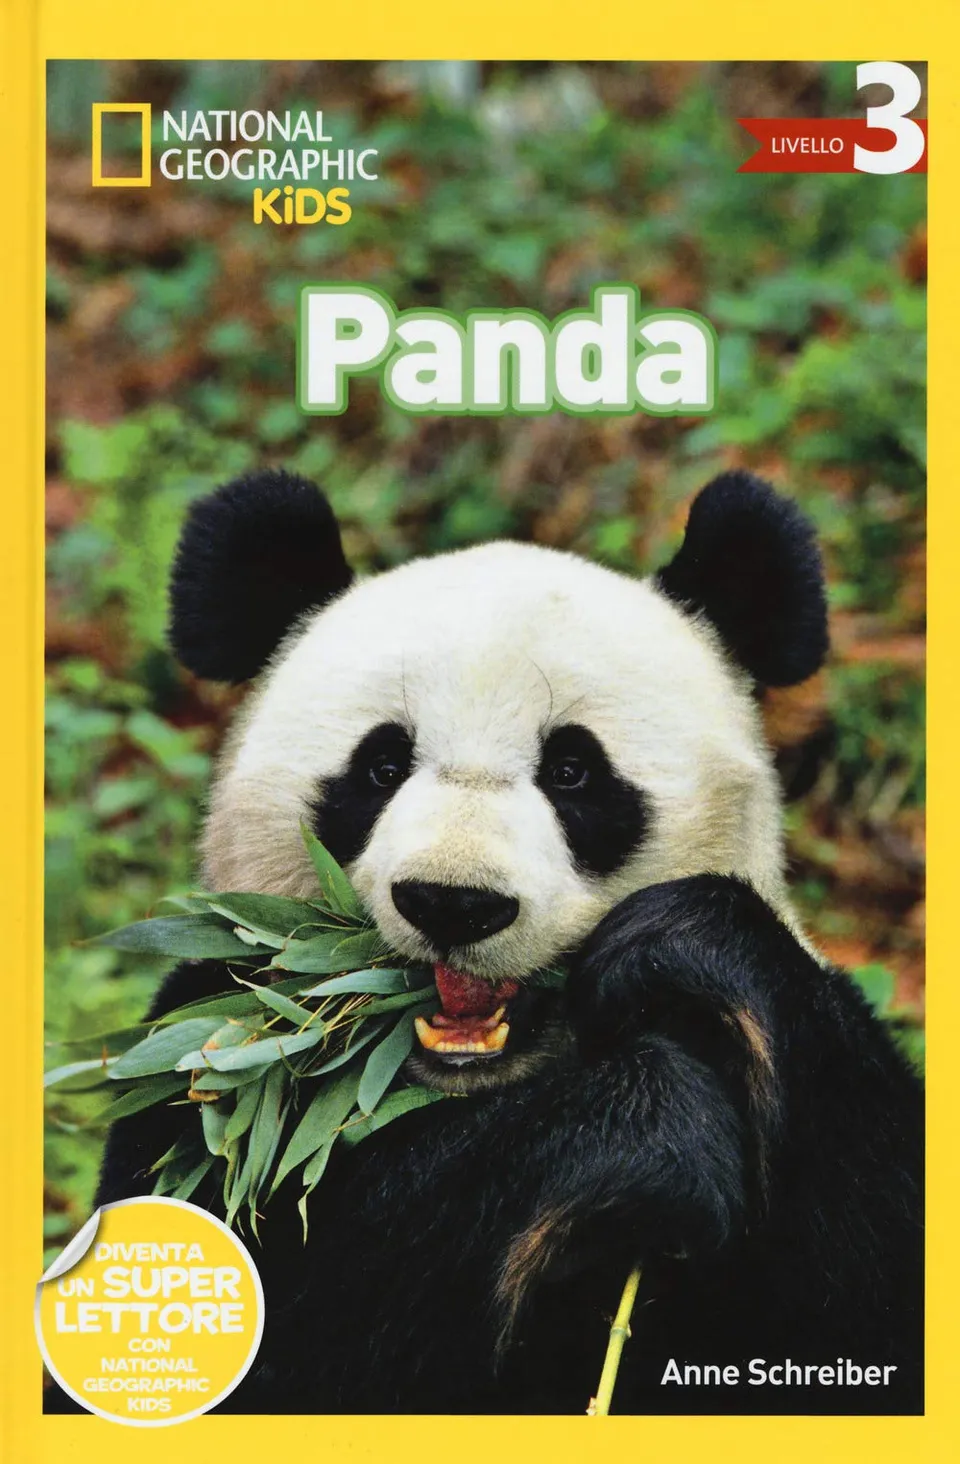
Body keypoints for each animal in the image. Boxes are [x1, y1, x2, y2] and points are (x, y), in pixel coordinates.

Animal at [89, 467, 922, 1416]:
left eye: (573, 771)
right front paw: (646, 1127)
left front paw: (684, 949)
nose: (453, 902)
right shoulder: (211, 1067)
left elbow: (869, 1303)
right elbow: (291, 1322)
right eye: (382, 765)